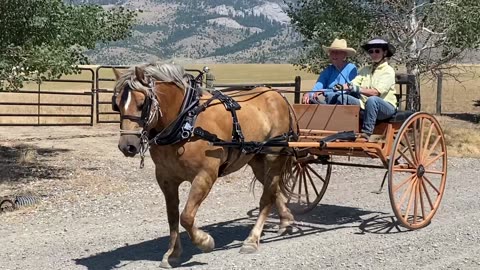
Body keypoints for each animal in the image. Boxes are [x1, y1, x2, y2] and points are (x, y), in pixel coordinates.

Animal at [112, 62, 296, 268]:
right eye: (116, 104)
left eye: (142, 103)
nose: (127, 146)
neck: (186, 122)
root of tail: (277, 94)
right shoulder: (166, 178)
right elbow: (172, 215)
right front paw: (173, 253)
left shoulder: (205, 175)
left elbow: (186, 216)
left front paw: (205, 241)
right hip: (256, 159)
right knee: (272, 189)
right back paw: (286, 221)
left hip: (273, 155)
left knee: (266, 197)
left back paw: (251, 240)